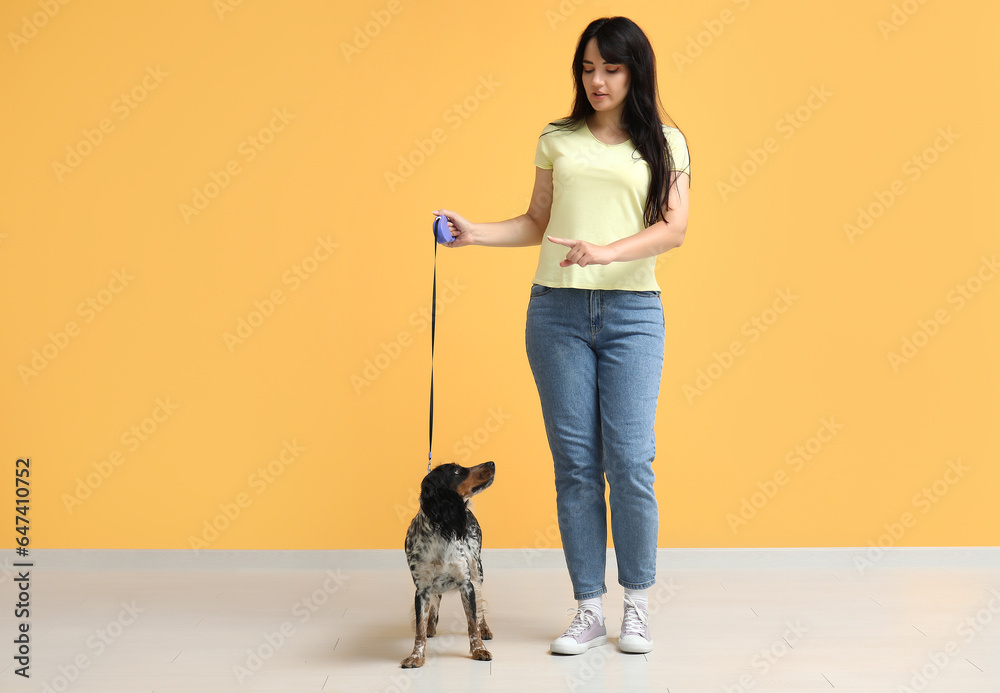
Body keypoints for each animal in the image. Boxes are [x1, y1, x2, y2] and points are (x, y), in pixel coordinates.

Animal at [402, 462, 496, 668]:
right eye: (457, 471)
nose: (491, 463)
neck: (441, 530)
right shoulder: (422, 589)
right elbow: (419, 629)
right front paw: (416, 656)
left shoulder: (466, 584)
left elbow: (472, 622)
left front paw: (479, 650)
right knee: (436, 601)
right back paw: (431, 626)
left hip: (477, 569)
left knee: (481, 604)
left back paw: (485, 628)